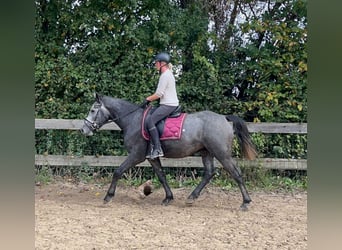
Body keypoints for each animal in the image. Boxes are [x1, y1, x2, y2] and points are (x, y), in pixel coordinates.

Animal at [80, 93, 256, 210]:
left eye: (93, 110)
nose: (83, 130)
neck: (133, 120)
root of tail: (224, 118)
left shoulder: (136, 156)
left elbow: (118, 171)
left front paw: (108, 197)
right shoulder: (151, 157)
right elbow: (161, 176)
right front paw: (168, 198)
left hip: (221, 153)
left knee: (236, 173)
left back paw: (245, 202)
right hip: (207, 152)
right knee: (209, 173)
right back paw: (191, 197)